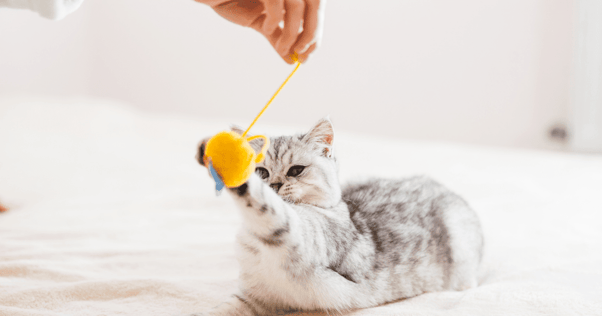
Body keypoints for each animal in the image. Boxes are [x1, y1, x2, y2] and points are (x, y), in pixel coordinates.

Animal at [192, 117, 482, 314]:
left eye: (296, 170)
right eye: (262, 172)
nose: (273, 185)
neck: (256, 240)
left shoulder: (294, 231)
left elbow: (266, 206)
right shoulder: (253, 298)